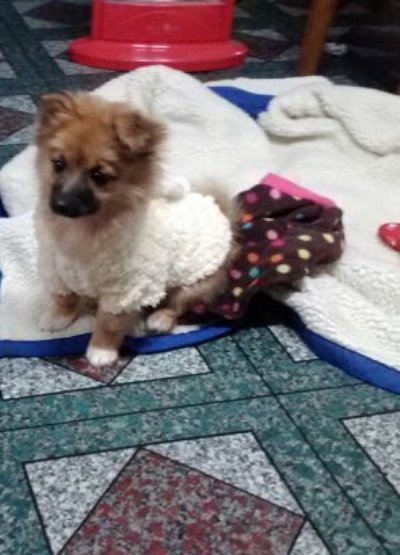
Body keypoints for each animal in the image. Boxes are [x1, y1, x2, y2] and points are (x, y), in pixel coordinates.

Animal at [34, 91, 234, 368]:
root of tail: (220, 213)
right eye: (58, 164)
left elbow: (109, 322)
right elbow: (65, 298)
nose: (61, 204)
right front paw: (57, 318)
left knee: (179, 304)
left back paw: (160, 319)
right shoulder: (58, 272)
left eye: (99, 175)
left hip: (199, 281)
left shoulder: (126, 289)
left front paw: (101, 351)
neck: (84, 229)